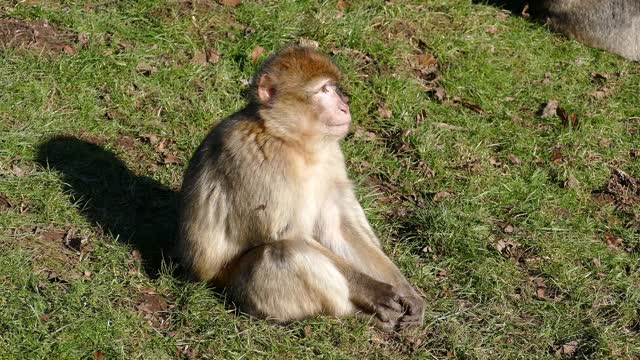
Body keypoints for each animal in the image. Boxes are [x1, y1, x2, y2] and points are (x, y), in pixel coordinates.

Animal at [176, 45, 424, 332]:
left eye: (333, 88)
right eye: (323, 90)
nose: (344, 106)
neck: (291, 141)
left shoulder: (331, 156)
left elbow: (339, 227)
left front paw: (406, 291)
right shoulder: (255, 158)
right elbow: (288, 234)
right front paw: (373, 290)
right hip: (235, 286)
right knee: (284, 252)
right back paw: (356, 315)